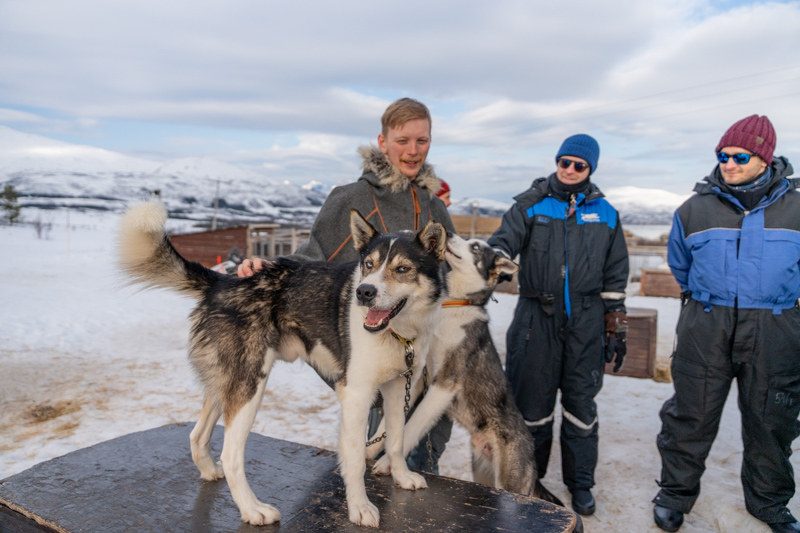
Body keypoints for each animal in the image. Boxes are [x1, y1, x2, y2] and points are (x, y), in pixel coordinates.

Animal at [117, 202, 450, 524]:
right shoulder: (356, 395)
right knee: (231, 455)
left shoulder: (397, 388)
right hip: (250, 385)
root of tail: (223, 281)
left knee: (197, 436)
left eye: (402, 269)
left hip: (226, 383)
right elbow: (355, 460)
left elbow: (396, 440)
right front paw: (359, 507)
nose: (363, 292)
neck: (398, 333)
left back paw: (210, 471)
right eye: (369, 265)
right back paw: (253, 510)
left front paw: (401, 476)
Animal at [368, 235, 564, 504]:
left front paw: (389, 464)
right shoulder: (417, 379)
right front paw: (368, 449)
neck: (452, 306)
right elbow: (389, 424)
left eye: (476, 247)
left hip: (510, 483)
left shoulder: (445, 382)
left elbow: (412, 426)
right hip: (483, 475)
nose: (449, 234)